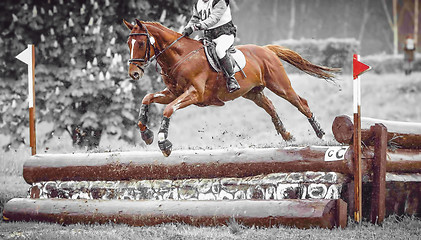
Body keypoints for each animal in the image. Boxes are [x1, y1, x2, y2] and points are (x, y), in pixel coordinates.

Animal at [123, 19, 340, 158]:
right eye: (128, 43)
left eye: (141, 43)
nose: (134, 73)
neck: (180, 56)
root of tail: (267, 49)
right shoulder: (172, 93)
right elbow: (147, 98)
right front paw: (146, 134)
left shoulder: (194, 94)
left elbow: (168, 109)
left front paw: (163, 143)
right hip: (253, 93)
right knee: (270, 106)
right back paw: (287, 135)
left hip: (280, 85)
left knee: (300, 102)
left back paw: (320, 133)